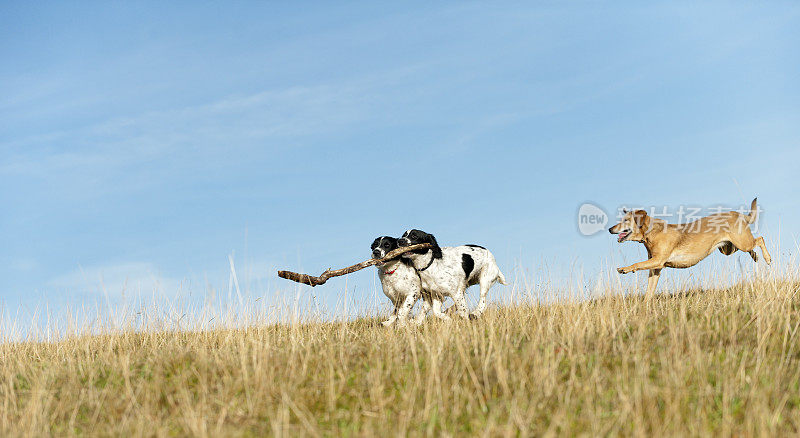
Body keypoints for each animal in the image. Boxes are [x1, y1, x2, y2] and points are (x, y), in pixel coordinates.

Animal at [608, 198, 772, 294]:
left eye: (625, 220)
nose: (610, 229)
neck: (650, 233)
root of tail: (738, 214)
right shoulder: (656, 268)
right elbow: (649, 291)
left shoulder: (657, 261)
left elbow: (637, 264)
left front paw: (624, 269)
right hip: (728, 248)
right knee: (753, 246)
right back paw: (756, 257)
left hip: (741, 243)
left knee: (760, 239)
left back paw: (768, 258)